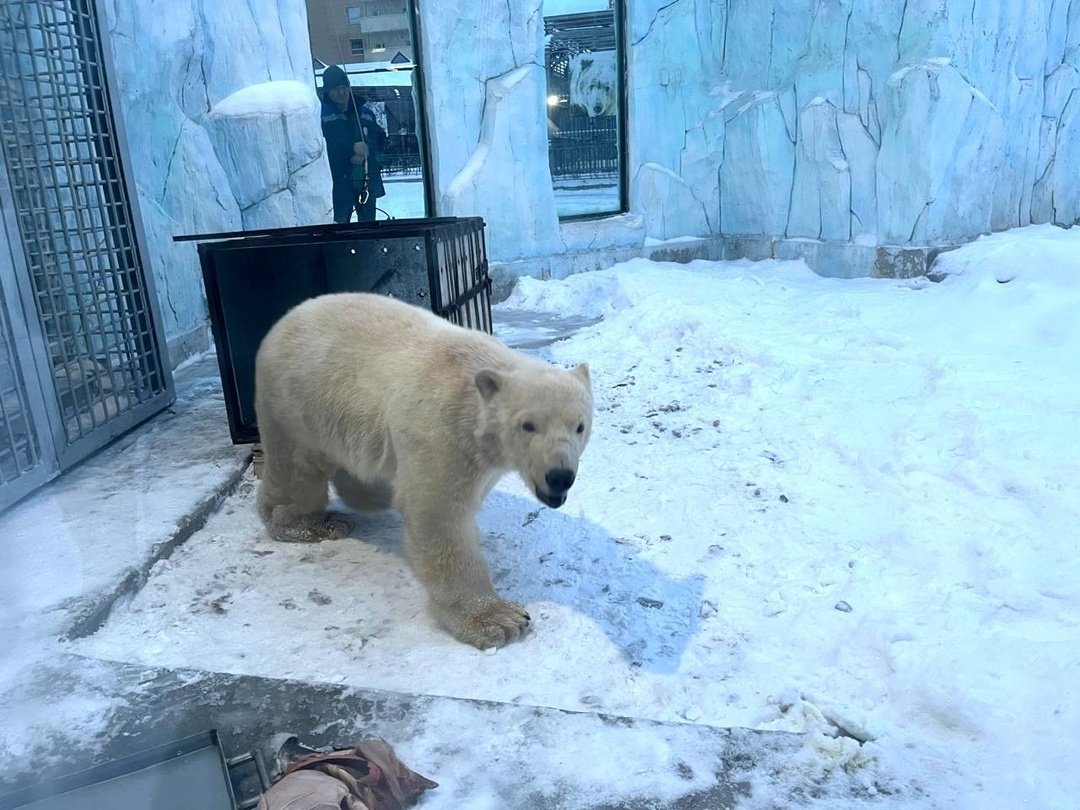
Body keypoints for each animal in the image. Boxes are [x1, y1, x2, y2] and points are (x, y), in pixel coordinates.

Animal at [252, 291, 591, 648]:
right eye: (528, 425)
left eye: (580, 426)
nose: (560, 476)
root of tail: (284, 320)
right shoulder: (441, 432)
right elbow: (438, 517)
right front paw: (500, 620)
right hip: (297, 402)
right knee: (296, 469)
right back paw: (313, 523)